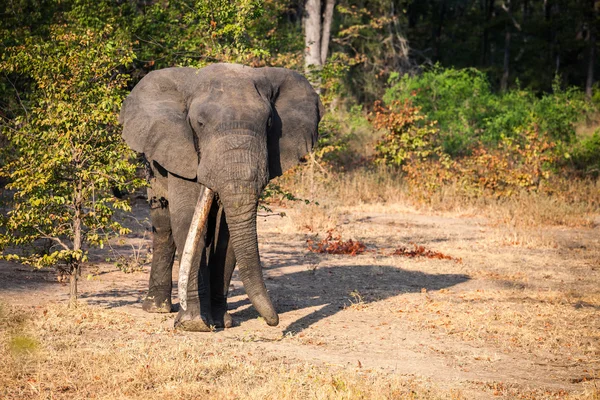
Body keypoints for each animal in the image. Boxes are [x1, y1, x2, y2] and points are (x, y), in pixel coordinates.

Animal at [120, 62, 324, 332]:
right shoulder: (182, 152)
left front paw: (221, 322)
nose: (275, 322)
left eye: (269, 123)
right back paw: (157, 309)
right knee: (163, 226)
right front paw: (194, 325)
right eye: (199, 123)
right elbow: (187, 220)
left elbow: (226, 233)